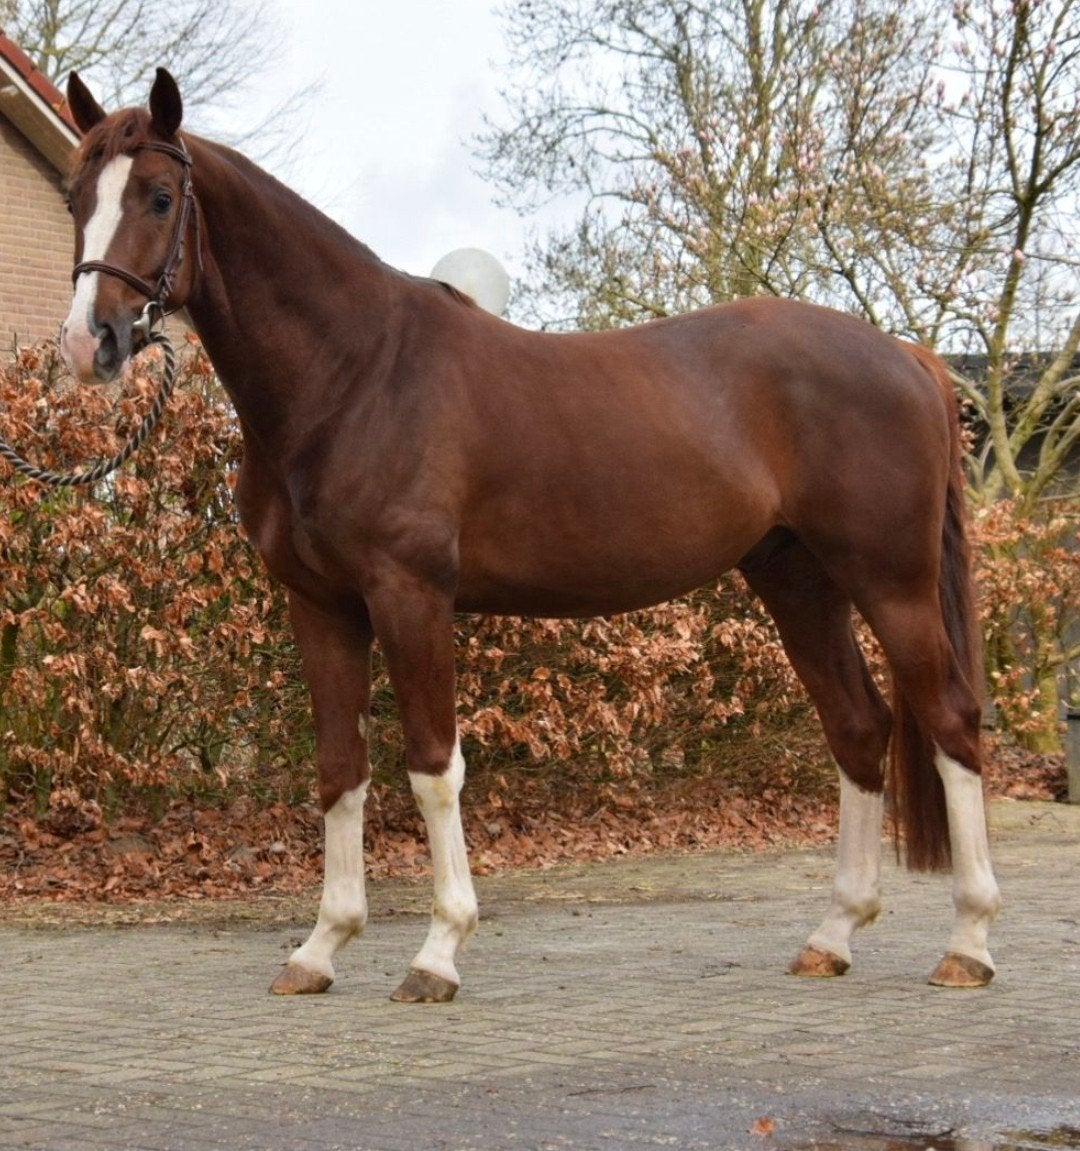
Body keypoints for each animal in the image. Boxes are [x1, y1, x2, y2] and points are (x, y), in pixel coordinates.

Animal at [58, 68, 1000, 1002]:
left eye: (160, 195)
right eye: (77, 195)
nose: (88, 340)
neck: (356, 373)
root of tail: (908, 356)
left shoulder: (410, 596)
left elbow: (432, 766)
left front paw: (437, 952)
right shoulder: (320, 605)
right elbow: (339, 769)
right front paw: (321, 948)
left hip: (893, 581)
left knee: (950, 722)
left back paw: (968, 942)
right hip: (798, 579)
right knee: (859, 727)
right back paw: (833, 935)